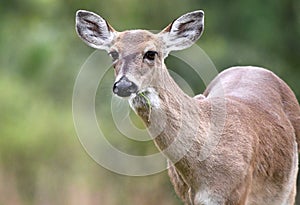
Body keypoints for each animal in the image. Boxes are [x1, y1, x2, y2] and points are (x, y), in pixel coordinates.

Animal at [75, 9, 300, 203]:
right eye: (113, 54)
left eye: (151, 53)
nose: (123, 85)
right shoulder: (186, 195)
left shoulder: (239, 190)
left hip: (289, 189)